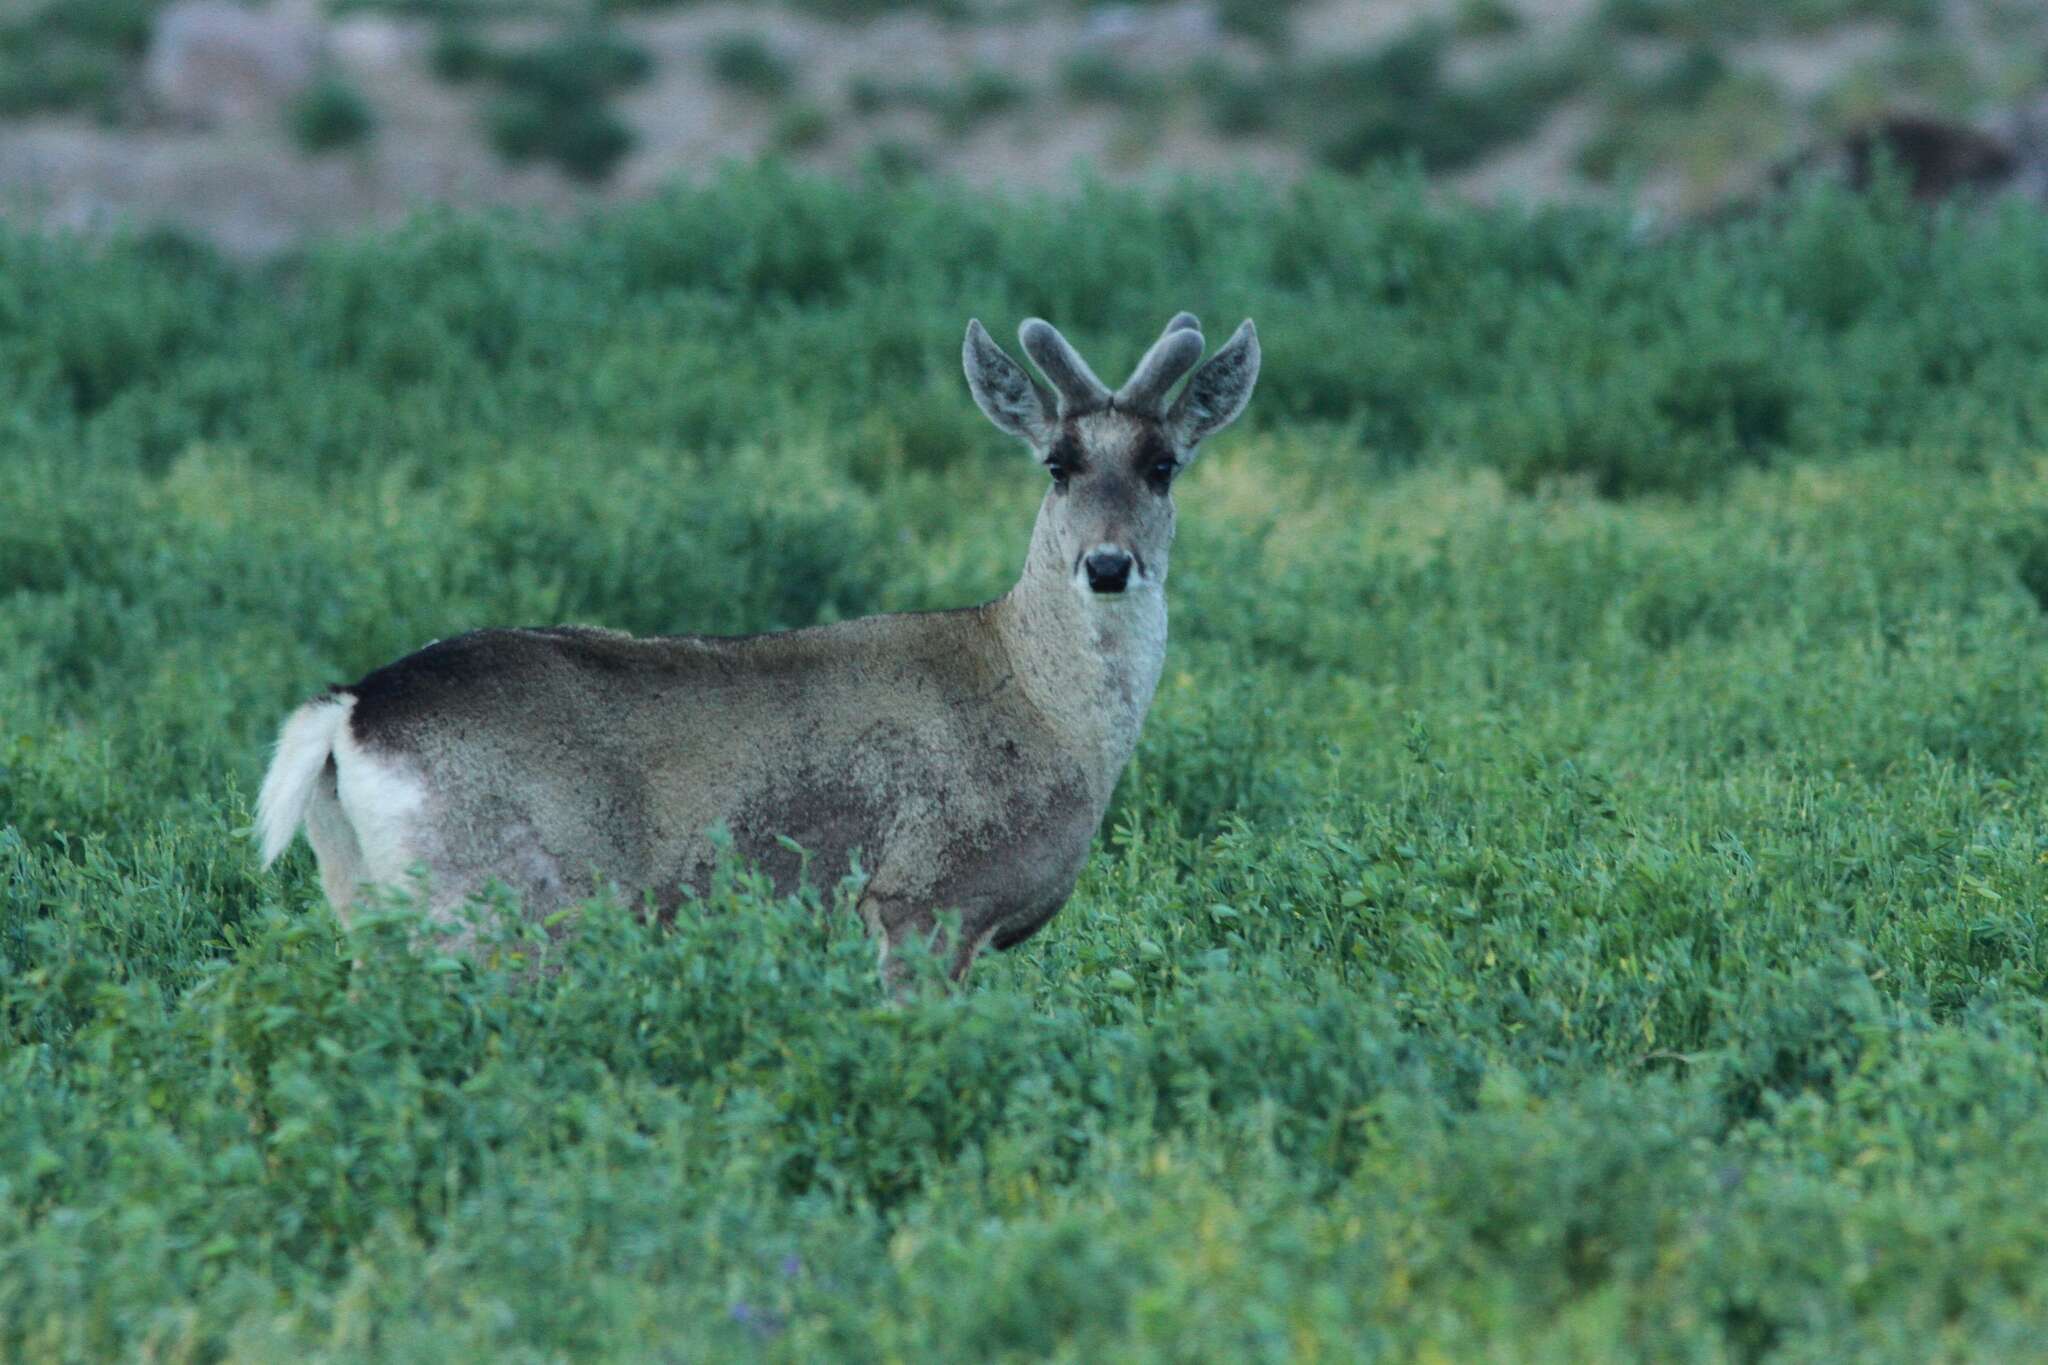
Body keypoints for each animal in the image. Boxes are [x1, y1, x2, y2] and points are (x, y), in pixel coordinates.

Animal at [249, 313, 1253, 978]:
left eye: (1164, 465)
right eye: (1057, 464)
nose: (1109, 564)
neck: (1047, 713)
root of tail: (351, 710)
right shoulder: (921, 898)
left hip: (364, 898)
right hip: (490, 906)